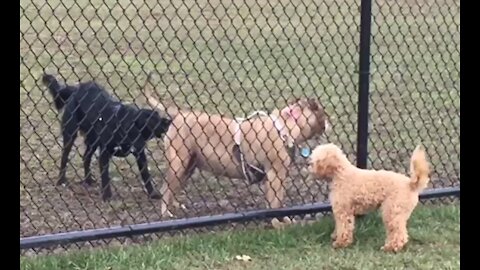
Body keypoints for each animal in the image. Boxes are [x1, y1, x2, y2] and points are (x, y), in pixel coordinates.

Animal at [41, 74, 172, 200]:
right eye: (153, 120)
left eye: (157, 114)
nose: (168, 120)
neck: (123, 127)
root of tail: (77, 88)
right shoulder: (104, 153)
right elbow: (105, 176)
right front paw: (106, 195)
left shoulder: (140, 153)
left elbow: (146, 175)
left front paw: (152, 193)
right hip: (70, 134)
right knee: (65, 156)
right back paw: (61, 180)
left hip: (92, 140)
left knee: (86, 157)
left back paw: (88, 180)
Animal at [141, 73, 332, 227]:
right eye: (324, 113)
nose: (330, 122)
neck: (284, 127)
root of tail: (180, 114)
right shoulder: (275, 176)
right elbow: (276, 203)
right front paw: (278, 222)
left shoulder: (275, 178)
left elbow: (275, 201)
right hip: (178, 163)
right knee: (166, 189)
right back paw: (166, 213)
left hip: (188, 165)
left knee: (172, 188)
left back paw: (175, 206)